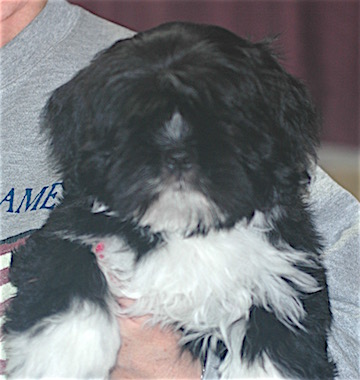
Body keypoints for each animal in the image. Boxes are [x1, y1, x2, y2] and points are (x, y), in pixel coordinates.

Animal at [5, 22, 336, 378]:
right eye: (134, 119)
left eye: (224, 118)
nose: (177, 155)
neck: (184, 229)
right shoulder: (71, 232)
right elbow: (66, 274)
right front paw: (61, 358)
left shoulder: (287, 279)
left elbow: (274, 347)